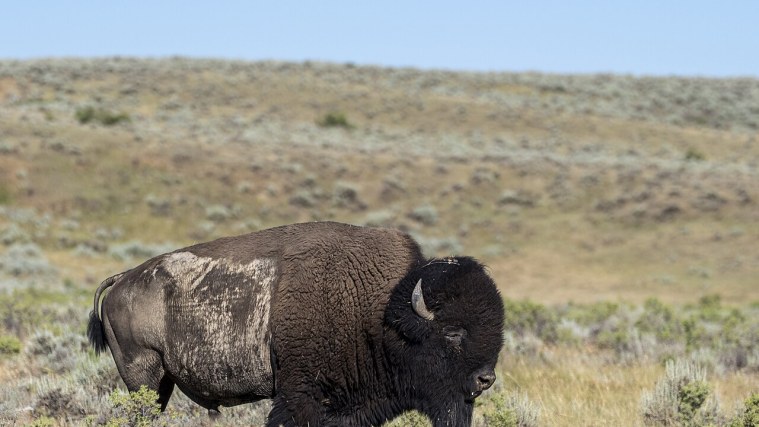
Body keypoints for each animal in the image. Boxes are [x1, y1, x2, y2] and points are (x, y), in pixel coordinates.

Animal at [87, 221, 504, 426]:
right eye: (453, 333)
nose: (486, 379)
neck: (381, 311)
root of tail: (123, 279)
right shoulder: (299, 396)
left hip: (160, 382)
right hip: (144, 376)